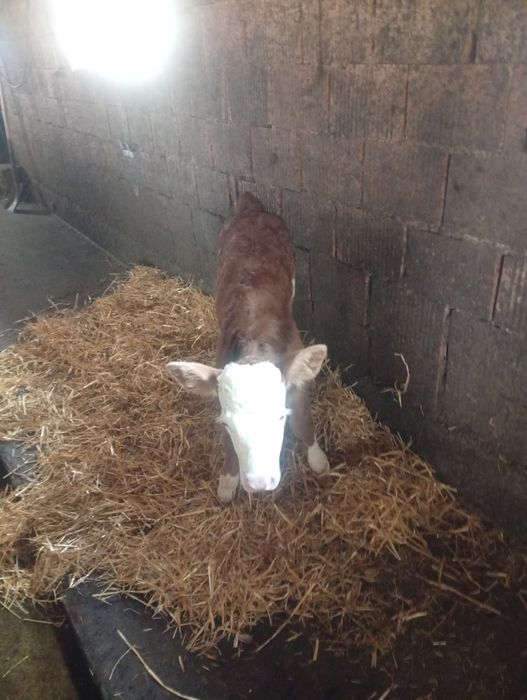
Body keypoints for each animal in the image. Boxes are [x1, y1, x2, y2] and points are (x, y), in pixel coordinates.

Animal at [167, 193, 329, 503]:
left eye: (280, 417)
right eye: (227, 425)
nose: (259, 482)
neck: (255, 344)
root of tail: (251, 204)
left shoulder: (298, 380)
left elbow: (303, 421)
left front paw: (318, 459)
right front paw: (228, 481)